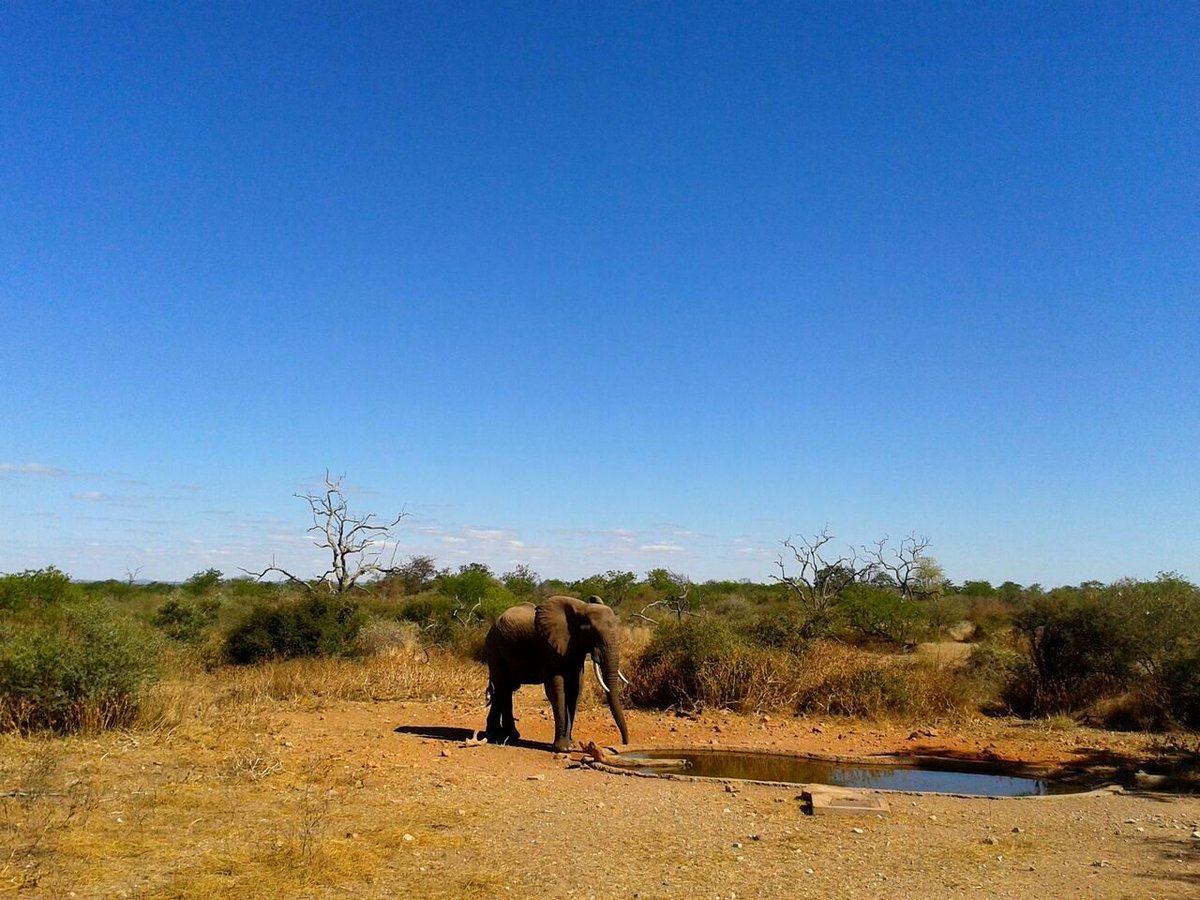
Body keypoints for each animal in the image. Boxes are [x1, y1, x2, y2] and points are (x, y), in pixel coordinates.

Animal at [484, 595, 630, 752]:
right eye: (590, 632)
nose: (624, 743)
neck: (581, 608)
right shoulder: (549, 646)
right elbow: (556, 689)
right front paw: (563, 748)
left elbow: (575, 690)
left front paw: (570, 744)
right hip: (494, 648)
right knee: (503, 686)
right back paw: (502, 735)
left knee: (506, 688)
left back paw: (504, 734)